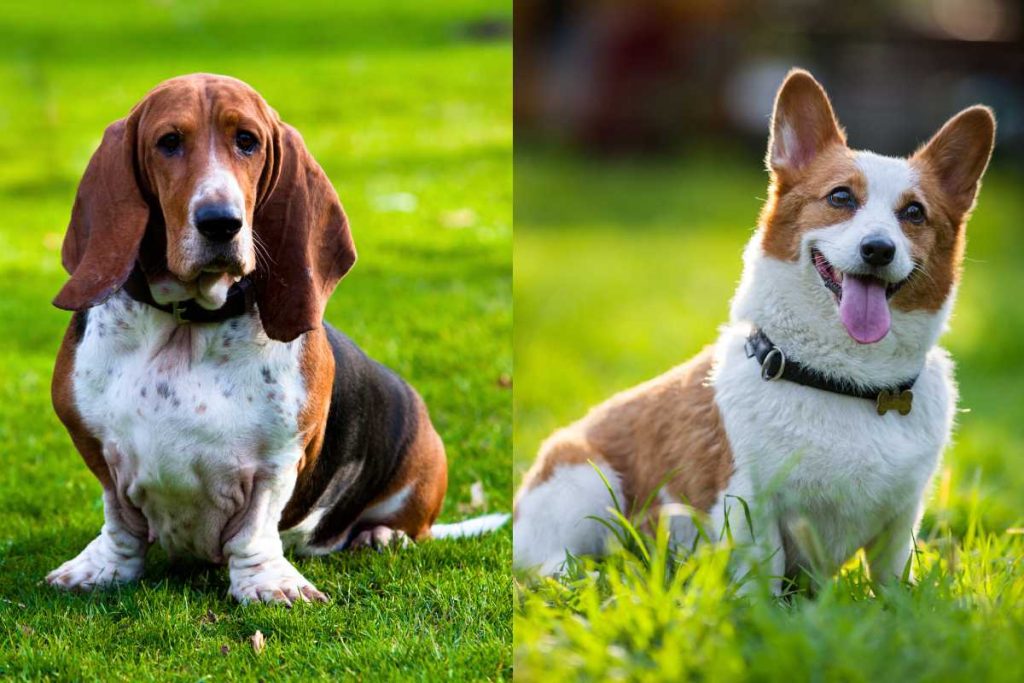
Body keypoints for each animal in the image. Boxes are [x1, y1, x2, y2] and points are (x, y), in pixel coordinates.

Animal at [47, 74, 507, 606]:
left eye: (247, 141)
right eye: (169, 142)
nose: (221, 221)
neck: (188, 321)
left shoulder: (277, 459)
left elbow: (255, 527)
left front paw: (269, 583)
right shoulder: (99, 449)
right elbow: (120, 522)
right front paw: (101, 568)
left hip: (419, 469)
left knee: (406, 526)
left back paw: (380, 534)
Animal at [516, 70, 995, 593]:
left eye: (913, 213)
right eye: (841, 197)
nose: (878, 249)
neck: (847, 381)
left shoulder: (901, 521)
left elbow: (891, 584)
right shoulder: (751, 509)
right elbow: (761, 581)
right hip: (584, 480)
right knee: (549, 564)